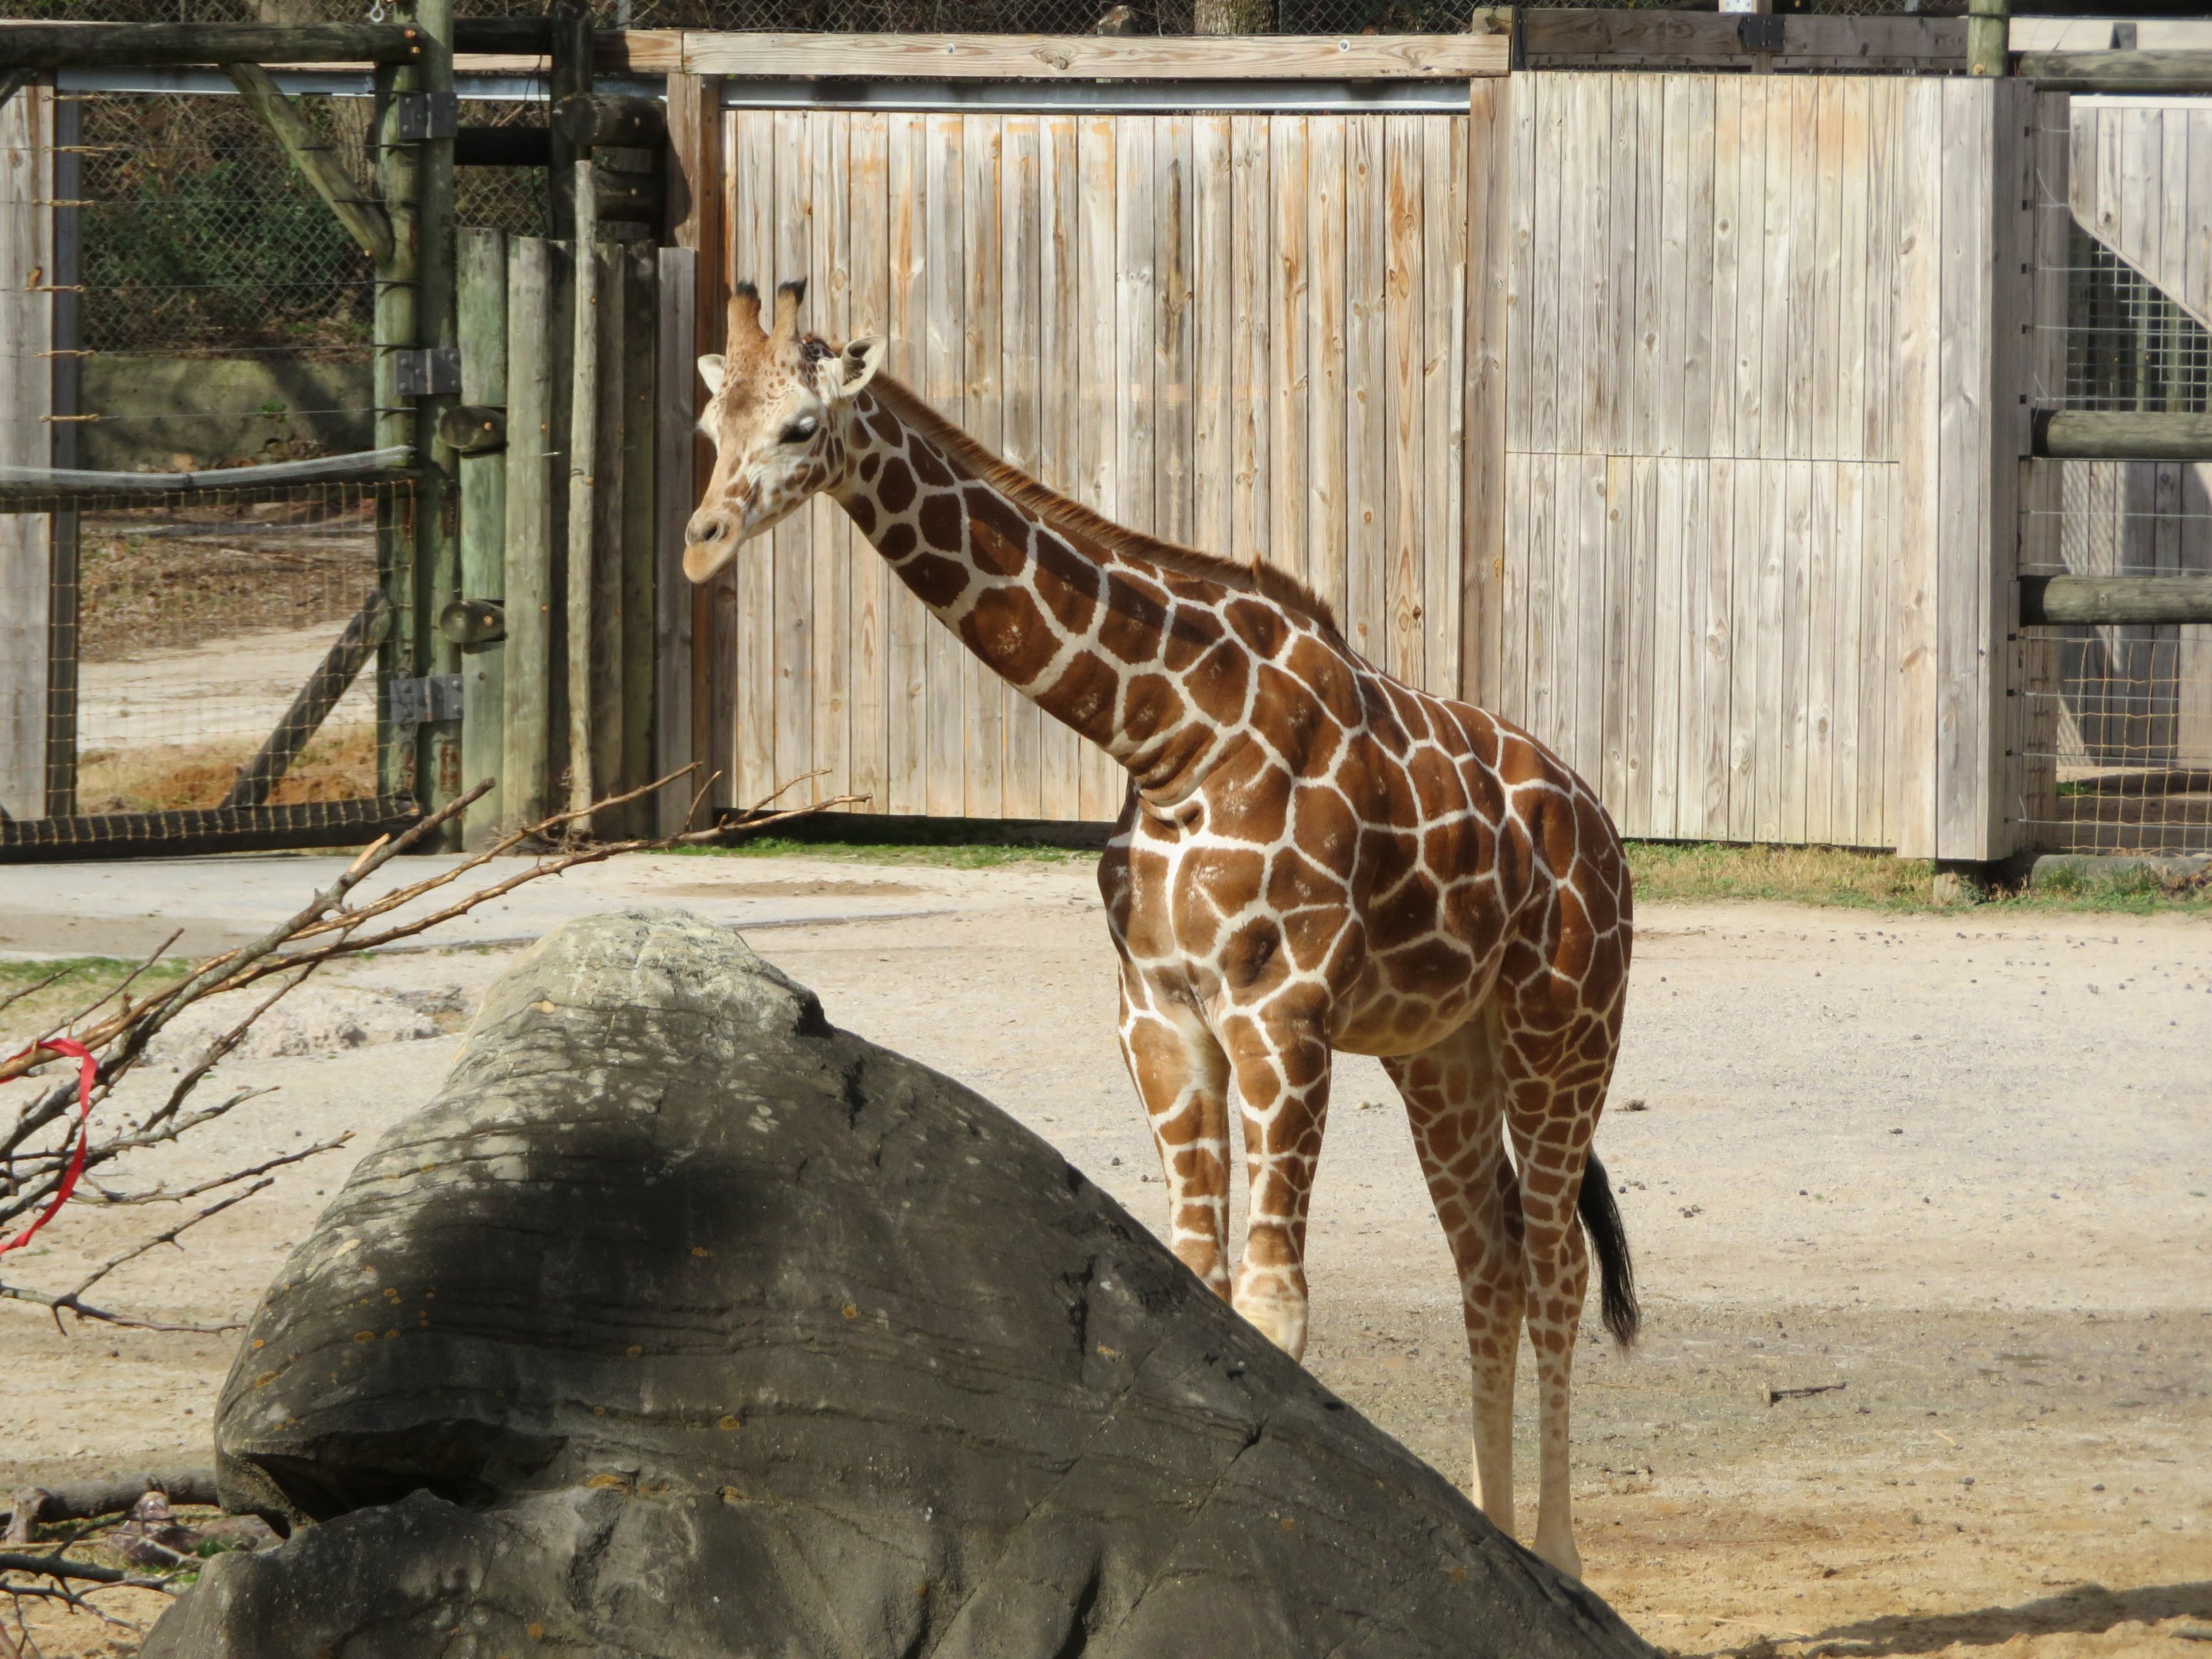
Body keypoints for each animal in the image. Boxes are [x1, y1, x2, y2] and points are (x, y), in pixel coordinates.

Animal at [684, 280, 1639, 1579]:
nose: (700, 542)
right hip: (1445, 1053)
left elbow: (1276, 1300)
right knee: (1485, 1267)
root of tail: (1600, 830)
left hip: (1565, 1034)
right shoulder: (1160, 1017)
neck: (1169, 736)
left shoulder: (1281, 1018)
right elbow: (1199, 1281)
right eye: (709, 425)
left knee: (1554, 1264)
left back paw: (1560, 1560)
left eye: (797, 427)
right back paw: (1499, 1541)